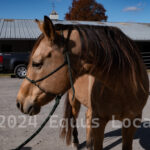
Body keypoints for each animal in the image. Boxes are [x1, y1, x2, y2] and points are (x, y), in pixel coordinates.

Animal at [16, 16, 149, 150]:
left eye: (36, 63)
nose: (19, 102)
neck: (122, 88)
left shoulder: (132, 121)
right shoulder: (99, 121)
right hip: (74, 101)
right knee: (74, 118)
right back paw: (76, 142)